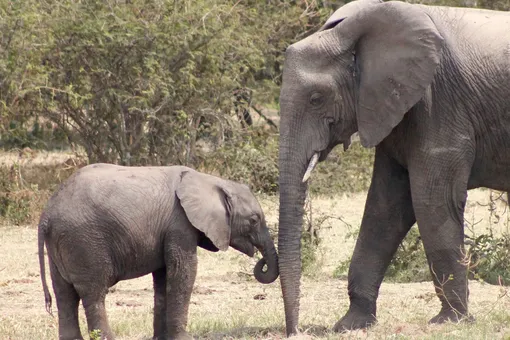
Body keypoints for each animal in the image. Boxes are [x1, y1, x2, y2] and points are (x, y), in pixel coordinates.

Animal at [39, 163, 278, 338]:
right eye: (254, 220)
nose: (261, 262)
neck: (210, 180)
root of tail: (46, 215)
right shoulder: (180, 224)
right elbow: (184, 271)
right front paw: (183, 339)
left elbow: (163, 278)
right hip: (84, 241)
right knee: (93, 293)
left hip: (62, 243)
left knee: (64, 294)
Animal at [276, 0, 510, 334]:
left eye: (316, 99)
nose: (295, 331)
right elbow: (384, 208)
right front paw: (350, 324)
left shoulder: (438, 102)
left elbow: (431, 202)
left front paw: (450, 321)